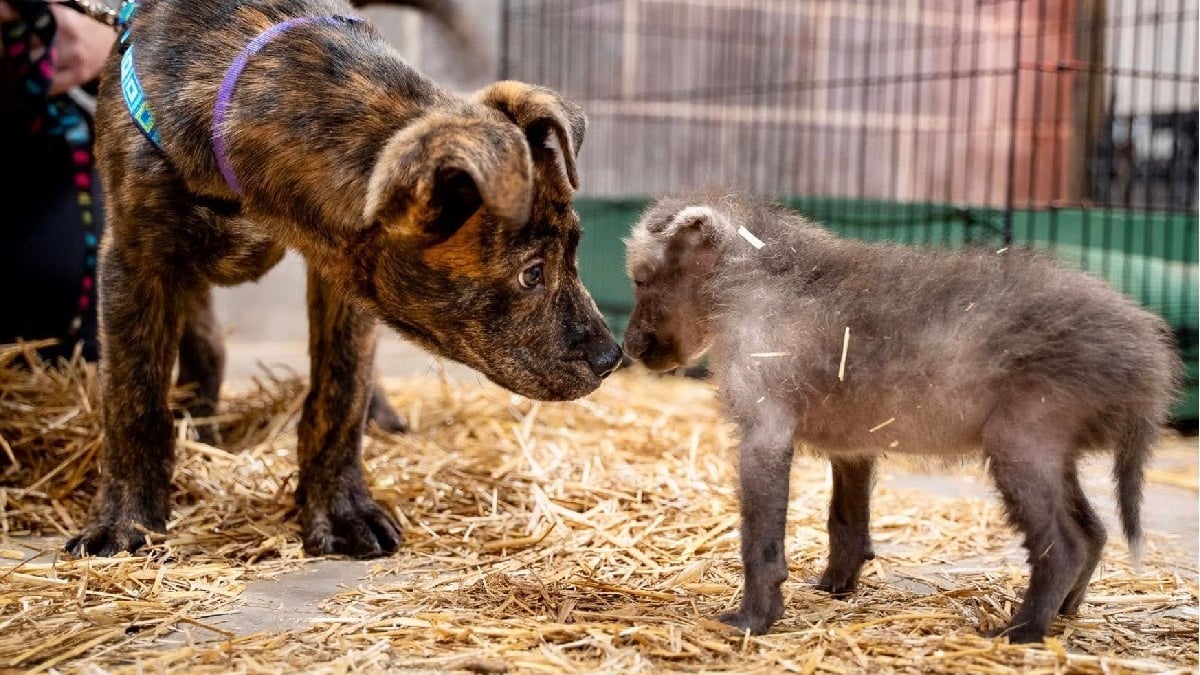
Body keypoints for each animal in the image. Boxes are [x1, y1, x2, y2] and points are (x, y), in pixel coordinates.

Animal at [69, 0, 624, 557]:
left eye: (574, 249)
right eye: (531, 274)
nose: (612, 359)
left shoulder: (342, 276)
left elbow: (340, 393)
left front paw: (340, 511)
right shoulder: (133, 258)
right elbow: (134, 396)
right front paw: (125, 521)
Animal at [628, 189, 1180, 638]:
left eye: (641, 279)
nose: (630, 349)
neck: (752, 278)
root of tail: (1145, 361)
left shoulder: (765, 435)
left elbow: (759, 544)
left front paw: (754, 619)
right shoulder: (853, 448)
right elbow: (846, 523)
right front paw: (836, 587)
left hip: (1021, 448)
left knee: (1063, 547)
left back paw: (1021, 632)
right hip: (1051, 454)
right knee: (1093, 532)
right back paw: (1065, 613)